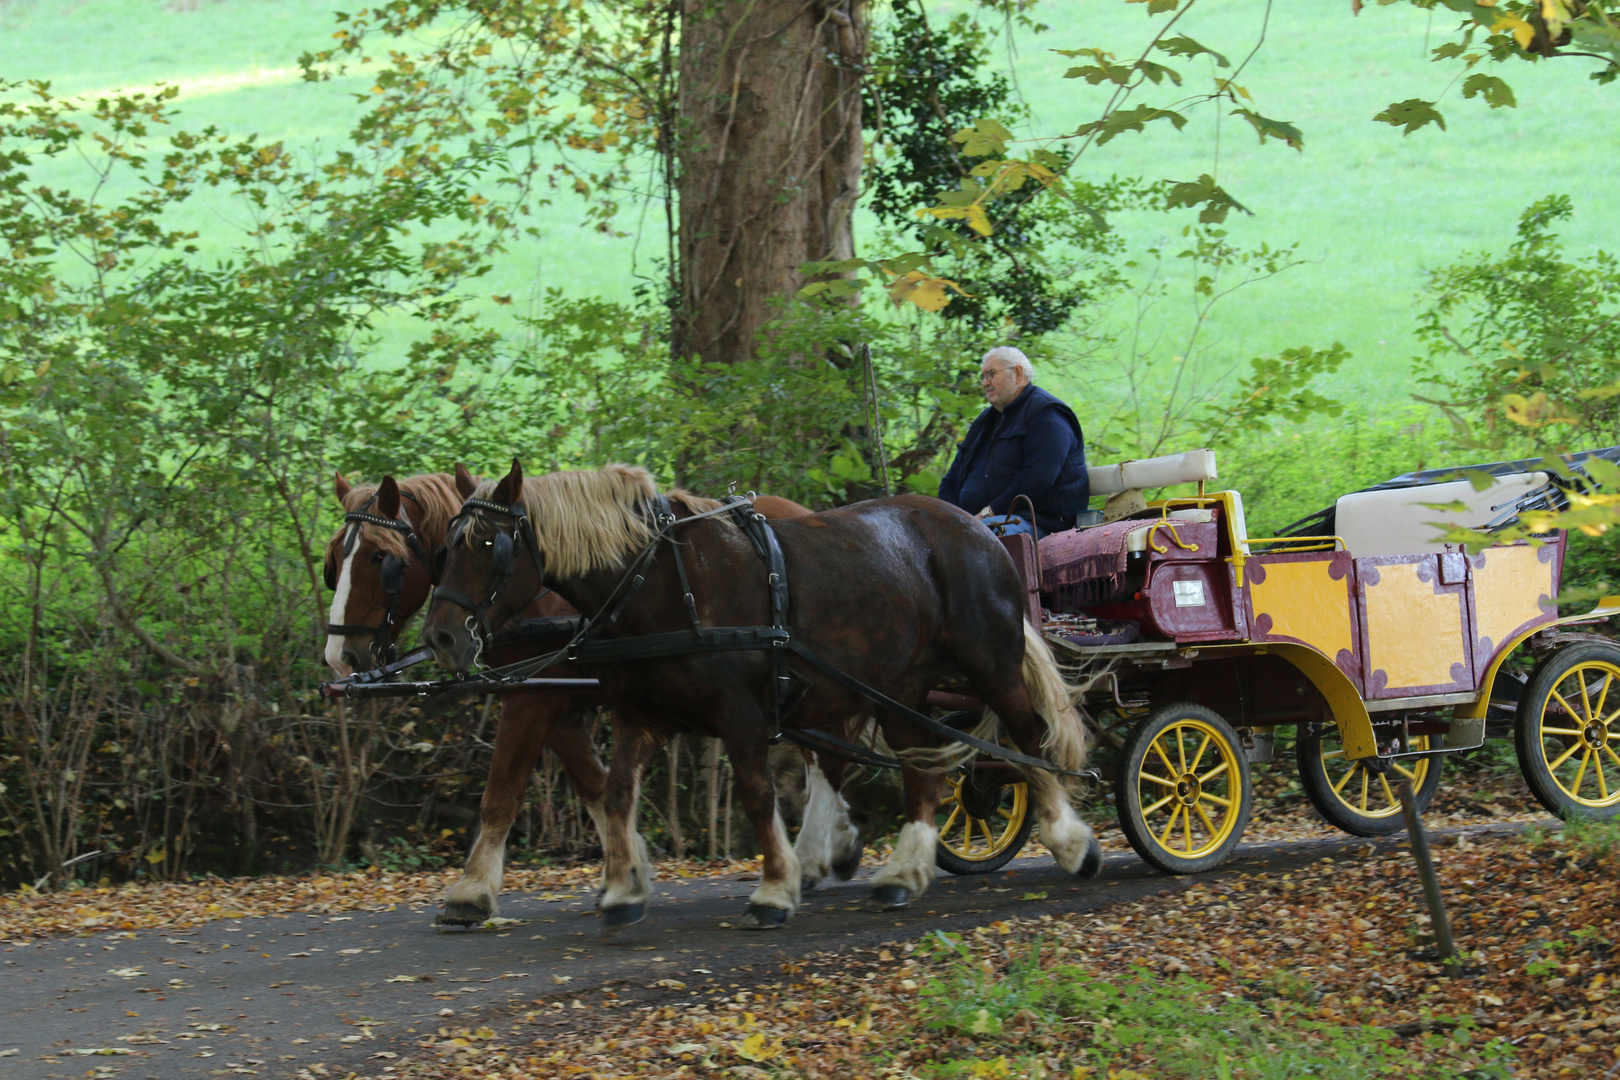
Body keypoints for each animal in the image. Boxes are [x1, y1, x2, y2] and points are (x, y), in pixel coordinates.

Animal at [417, 459, 1101, 932]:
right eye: (447, 548)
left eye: (491, 546)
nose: (442, 637)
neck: (660, 584)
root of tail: (977, 528)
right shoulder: (639, 714)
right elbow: (614, 793)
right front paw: (622, 889)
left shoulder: (740, 716)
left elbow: (753, 795)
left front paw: (774, 890)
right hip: (896, 687)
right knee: (919, 768)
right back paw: (903, 872)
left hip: (989, 664)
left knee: (1026, 739)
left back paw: (1070, 842)